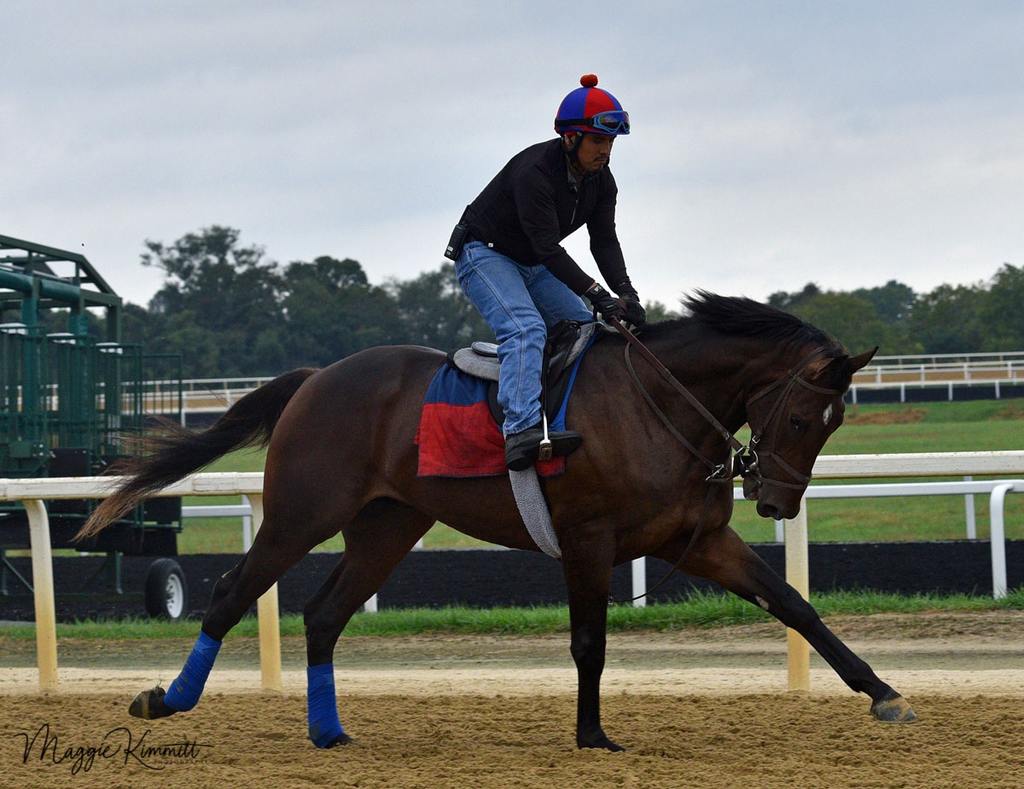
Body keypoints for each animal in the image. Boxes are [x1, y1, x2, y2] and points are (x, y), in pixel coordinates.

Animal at [75, 290, 917, 753]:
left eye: (837, 422)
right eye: (804, 415)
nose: (777, 501)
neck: (659, 402)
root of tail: (317, 378)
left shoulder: (700, 539)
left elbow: (795, 605)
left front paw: (882, 691)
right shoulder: (587, 539)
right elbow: (588, 642)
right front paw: (592, 734)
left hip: (389, 526)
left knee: (323, 613)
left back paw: (327, 729)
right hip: (298, 514)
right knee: (230, 593)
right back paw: (167, 698)